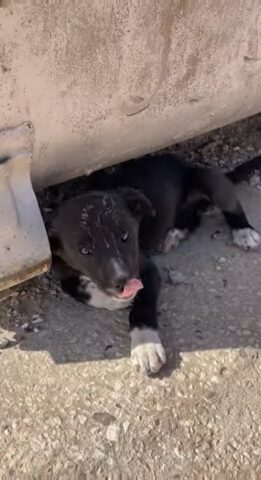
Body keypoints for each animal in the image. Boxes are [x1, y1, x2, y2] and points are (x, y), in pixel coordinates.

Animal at [49, 154, 258, 376]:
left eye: (125, 235)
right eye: (84, 251)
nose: (123, 280)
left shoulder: (146, 270)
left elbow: (143, 307)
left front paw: (145, 347)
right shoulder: (62, 274)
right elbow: (77, 290)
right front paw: (113, 300)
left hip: (209, 179)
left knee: (230, 204)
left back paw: (243, 230)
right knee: (194, 217)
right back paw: (175, 233)